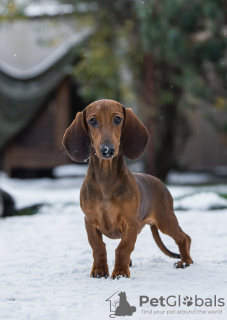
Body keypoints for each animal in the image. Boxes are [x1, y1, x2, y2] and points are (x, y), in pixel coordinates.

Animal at [62, 99, 193, 278]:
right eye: (92, 120)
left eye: (118, 119)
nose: (107, 150)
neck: (106, 179)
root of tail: (159, 182)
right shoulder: (89, 221)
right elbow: (98, 247)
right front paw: (99, 270)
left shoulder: (130, 223)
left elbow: (123, 248)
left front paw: (120, 272)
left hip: (165, 219)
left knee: (184, 238)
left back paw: (185, 261)